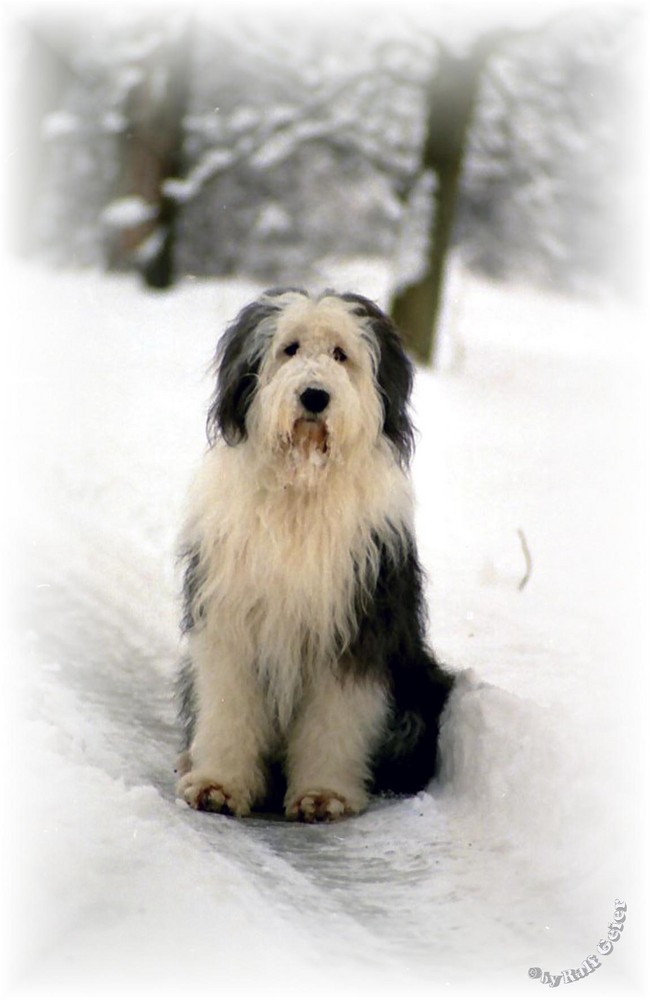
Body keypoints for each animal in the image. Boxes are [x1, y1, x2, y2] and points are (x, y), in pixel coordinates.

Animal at [175, 288, 454, 820]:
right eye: (290, 349)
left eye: (341, 354)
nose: (314, 396)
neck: (301, 488)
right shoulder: (228, 618)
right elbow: (227, 704)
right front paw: (219, 784)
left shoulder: (357, 622)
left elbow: (335, 718)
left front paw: (323, 795)